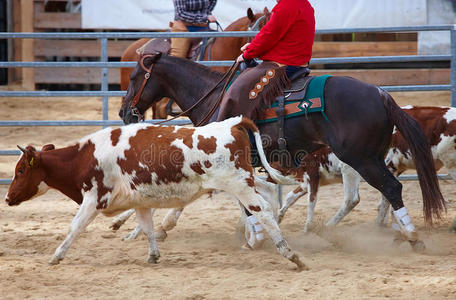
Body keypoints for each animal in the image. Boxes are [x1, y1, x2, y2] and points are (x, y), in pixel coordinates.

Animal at [5, 116, 304, 270]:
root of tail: (233, 123)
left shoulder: (93, 198)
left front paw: (57, 255)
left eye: (20, 170)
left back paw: (291, 254)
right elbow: (147, 227)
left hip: (238, 183)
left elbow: (75, 227)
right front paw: (153, 255)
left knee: (263, 211)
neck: (85, 157)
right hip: (245, 180)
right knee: (268, 194)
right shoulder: (139, 201)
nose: (8, 198)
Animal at [119, 52, 448, 252]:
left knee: (391, 189)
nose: (124, 112)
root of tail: (381, 94)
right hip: (372, 158)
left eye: (134, 77)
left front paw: (254, 237)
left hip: (362, 159)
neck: (212, 98)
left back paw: (412, 237)